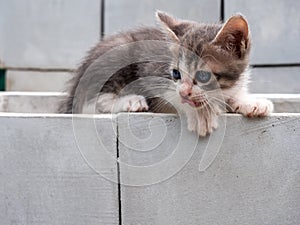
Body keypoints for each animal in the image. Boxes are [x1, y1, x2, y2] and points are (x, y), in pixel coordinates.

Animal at [57, 10, 274, 136]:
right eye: (176, 74)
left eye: (203, 76)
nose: (185, 92)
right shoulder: (152, 73)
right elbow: (171, 97)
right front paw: (201, 114)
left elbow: (231, 96)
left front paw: (249, 102)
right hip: (117, 55)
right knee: (92, 102)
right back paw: (130, 101)